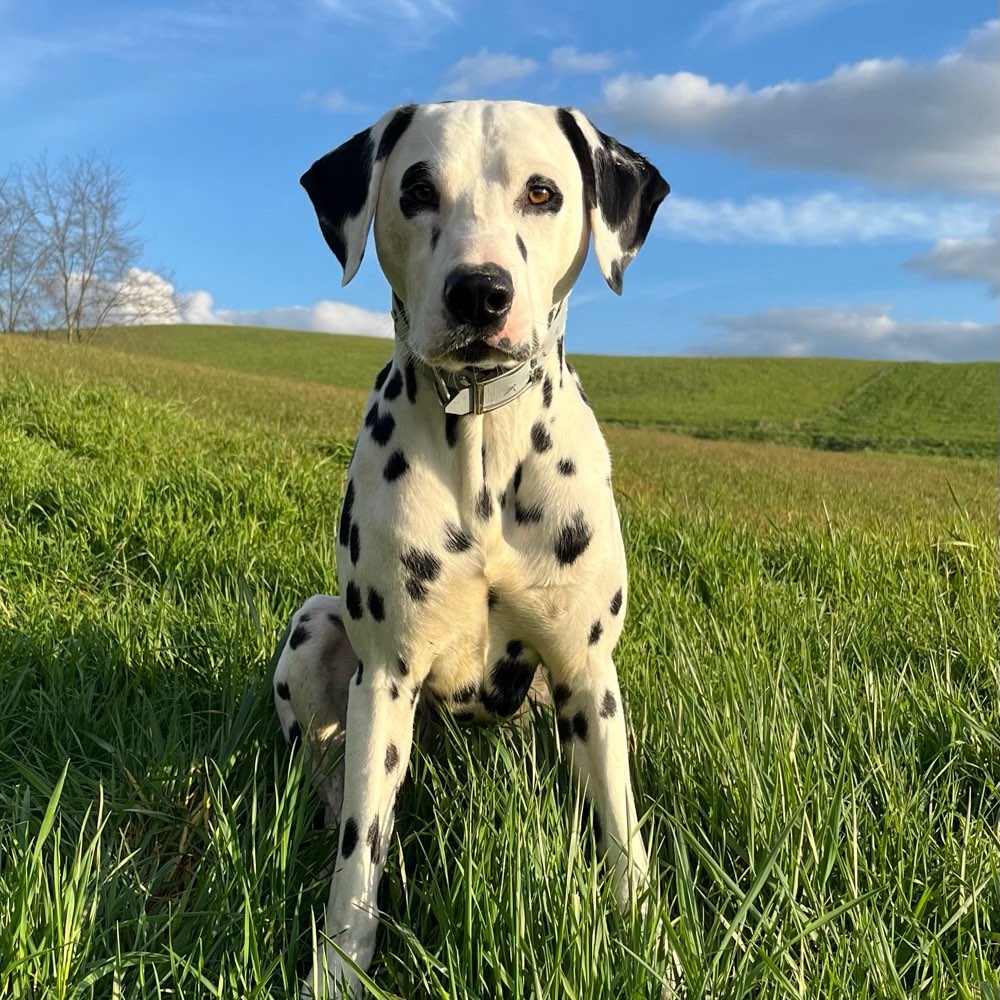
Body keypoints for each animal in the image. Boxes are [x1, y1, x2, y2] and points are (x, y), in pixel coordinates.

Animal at [272, 97, 672, 996]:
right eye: (418, 189)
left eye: (542, 192)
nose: (480, 292)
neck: (485, 447)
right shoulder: (386, 677)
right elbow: (361, 853)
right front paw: (339, 968)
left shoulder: (589, 673)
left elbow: (622, 830)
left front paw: (644, 939)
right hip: (314, 631)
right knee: (328, 775)